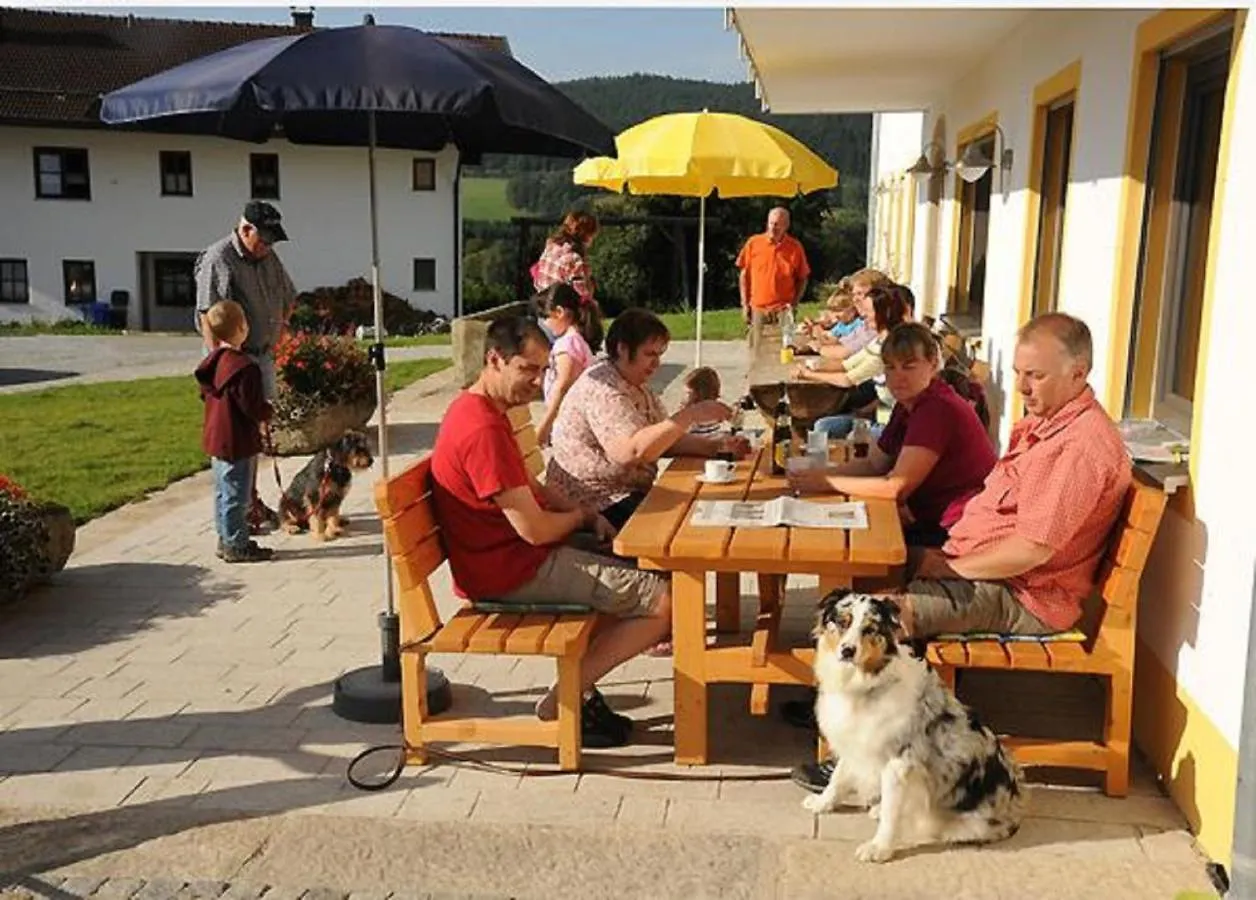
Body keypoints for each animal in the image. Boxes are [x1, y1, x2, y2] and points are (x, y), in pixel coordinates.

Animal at [803, 592, 1019, 858]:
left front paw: (879, 848)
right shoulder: (855, 740)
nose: (847, 651)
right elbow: (839, 777)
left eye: (870, 629)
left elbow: (891, 813)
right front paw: (822, 802)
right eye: (842, 622)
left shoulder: (898, 762)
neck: (867, 684)